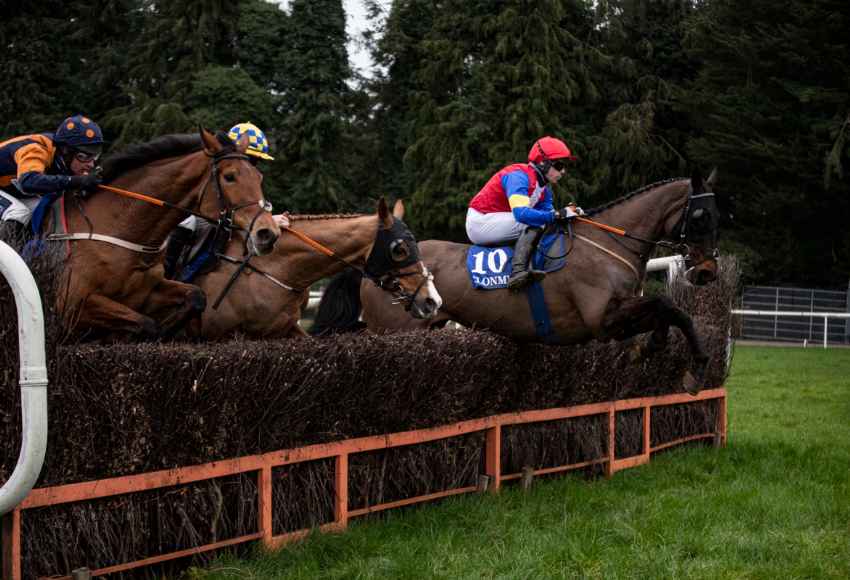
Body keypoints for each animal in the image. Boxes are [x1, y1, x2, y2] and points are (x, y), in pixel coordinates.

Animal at [51, 129, 278, 338]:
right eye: (229, 176)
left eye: (258, 177)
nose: (268, 233)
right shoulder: (70, 303)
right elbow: (147, 324)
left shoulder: (149, 291)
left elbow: (196, 297)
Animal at [314, 170, 720, 392]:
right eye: (701, 216)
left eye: (721, 213)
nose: (708, 271)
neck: (609, 243)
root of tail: (372, 268)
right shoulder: (601, 321)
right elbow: (668, 306)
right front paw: (694, 367)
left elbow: (667, 310)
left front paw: (657, 346)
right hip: (395, 329)